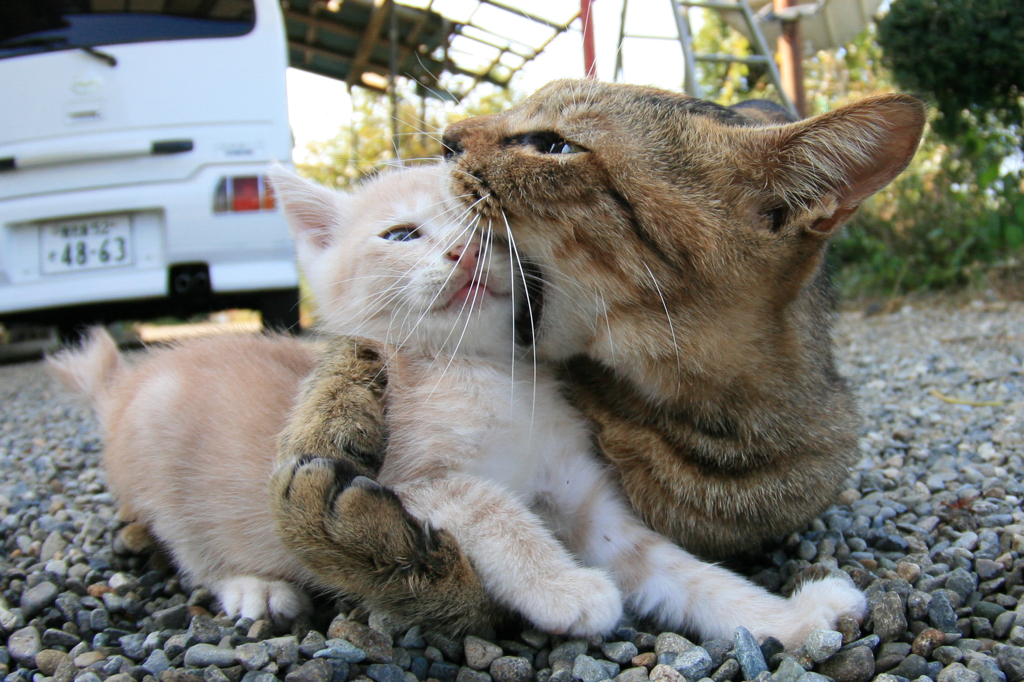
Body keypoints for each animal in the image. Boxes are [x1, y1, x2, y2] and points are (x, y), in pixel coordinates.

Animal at [272, 79, 929, 630]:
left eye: (554, 145)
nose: (446, 138)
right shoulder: (425, 473)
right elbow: (476, 517)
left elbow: (685, 574)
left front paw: (794, 620)